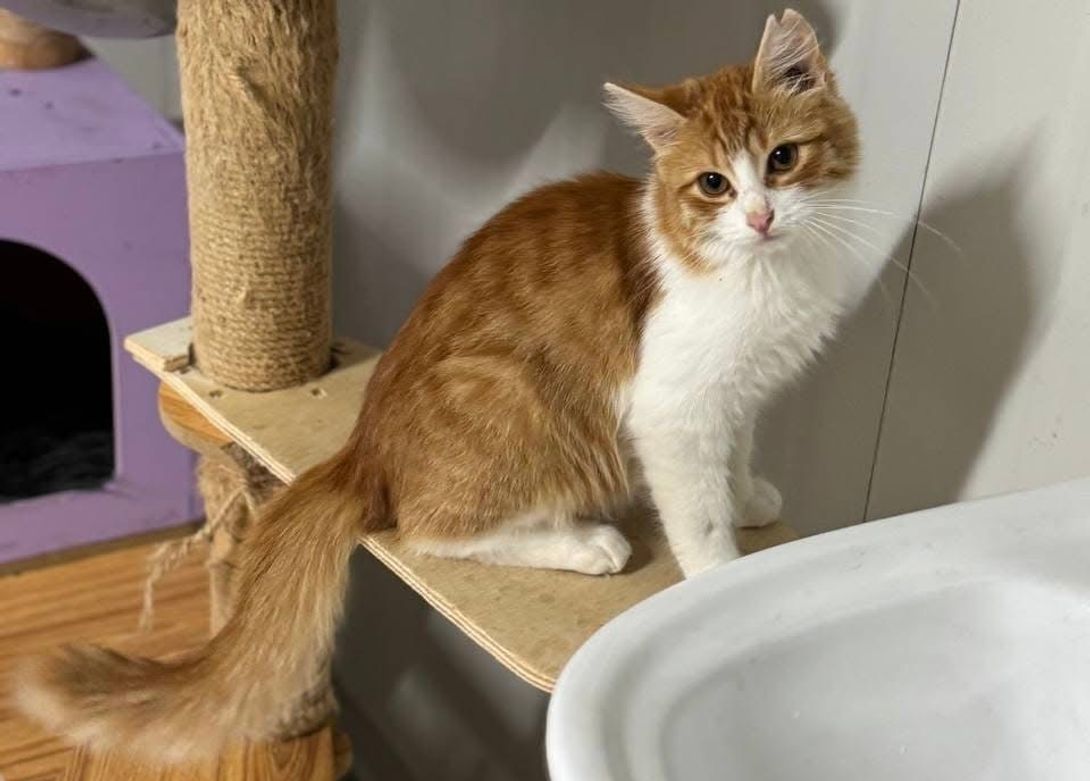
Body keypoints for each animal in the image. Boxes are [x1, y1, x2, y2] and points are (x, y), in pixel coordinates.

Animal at [17, 9, 859, 761]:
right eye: (713, 183)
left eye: (783, 158)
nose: (760, 216)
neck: (766, 275)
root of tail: (362, 446)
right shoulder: (674, 408)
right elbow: (698, 516)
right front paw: (719, 584)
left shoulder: (738, 394)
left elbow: (737, 457)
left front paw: (748, 498)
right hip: (518, 397)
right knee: (429, 529)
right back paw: (586, 543)